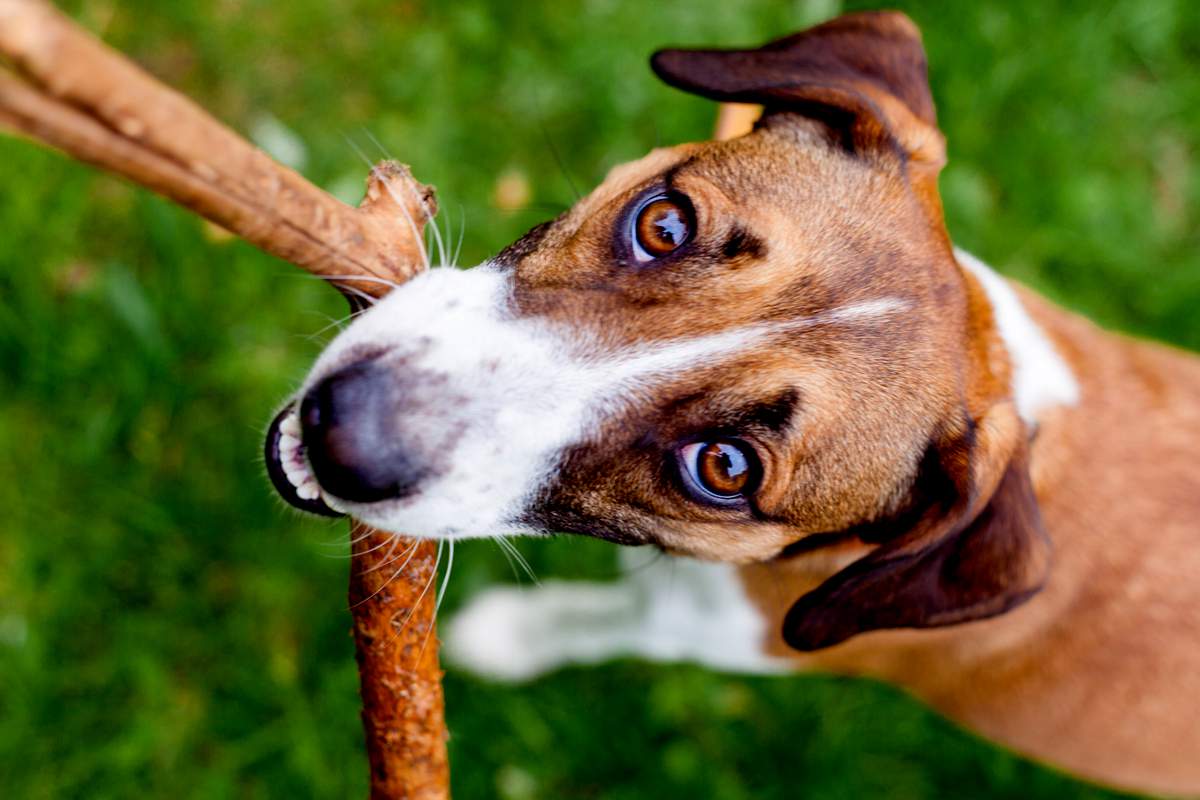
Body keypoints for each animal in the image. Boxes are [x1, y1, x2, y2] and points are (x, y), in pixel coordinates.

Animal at [262, 12, 1200, 800]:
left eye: (724, 467)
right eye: (665, 225)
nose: (344, 429)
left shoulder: (704, 624)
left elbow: (600, 618)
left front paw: (505, 637)